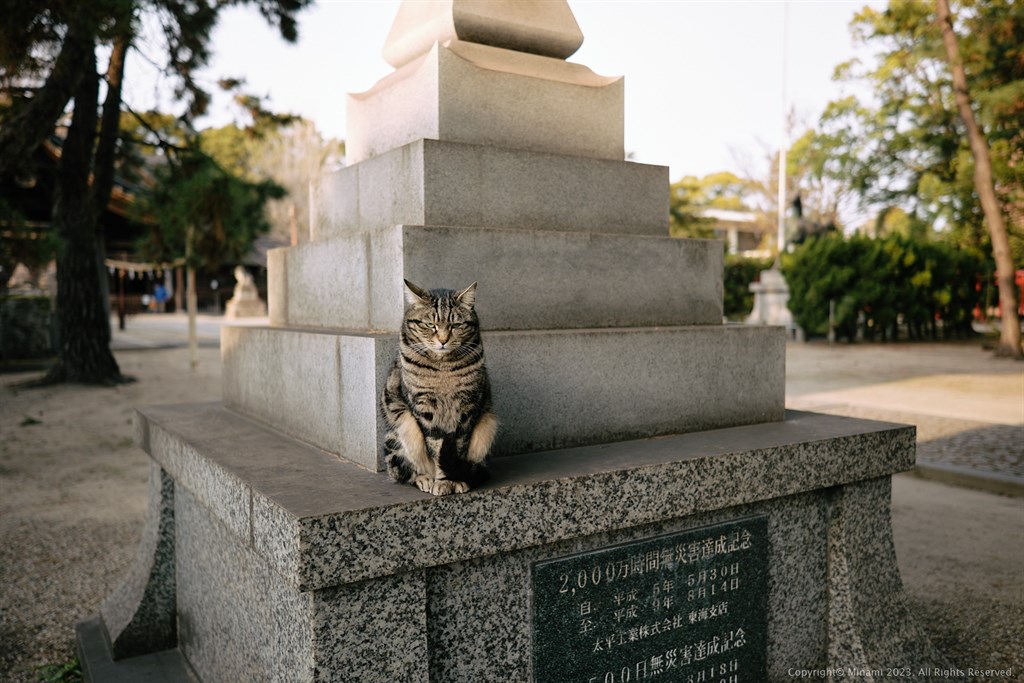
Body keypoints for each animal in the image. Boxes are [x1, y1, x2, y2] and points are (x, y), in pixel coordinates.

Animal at [380, 278, 499, 497]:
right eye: (430, 325)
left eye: (456, 325)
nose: (443, 340)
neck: (443, 369)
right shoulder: (425, 407)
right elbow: (436, 446)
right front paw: (441, 481)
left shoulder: (467, 407)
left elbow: (458, 445)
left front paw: (455, 480)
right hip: (402, 428)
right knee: (404, 473)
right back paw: (425, 478)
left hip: (488, 425)